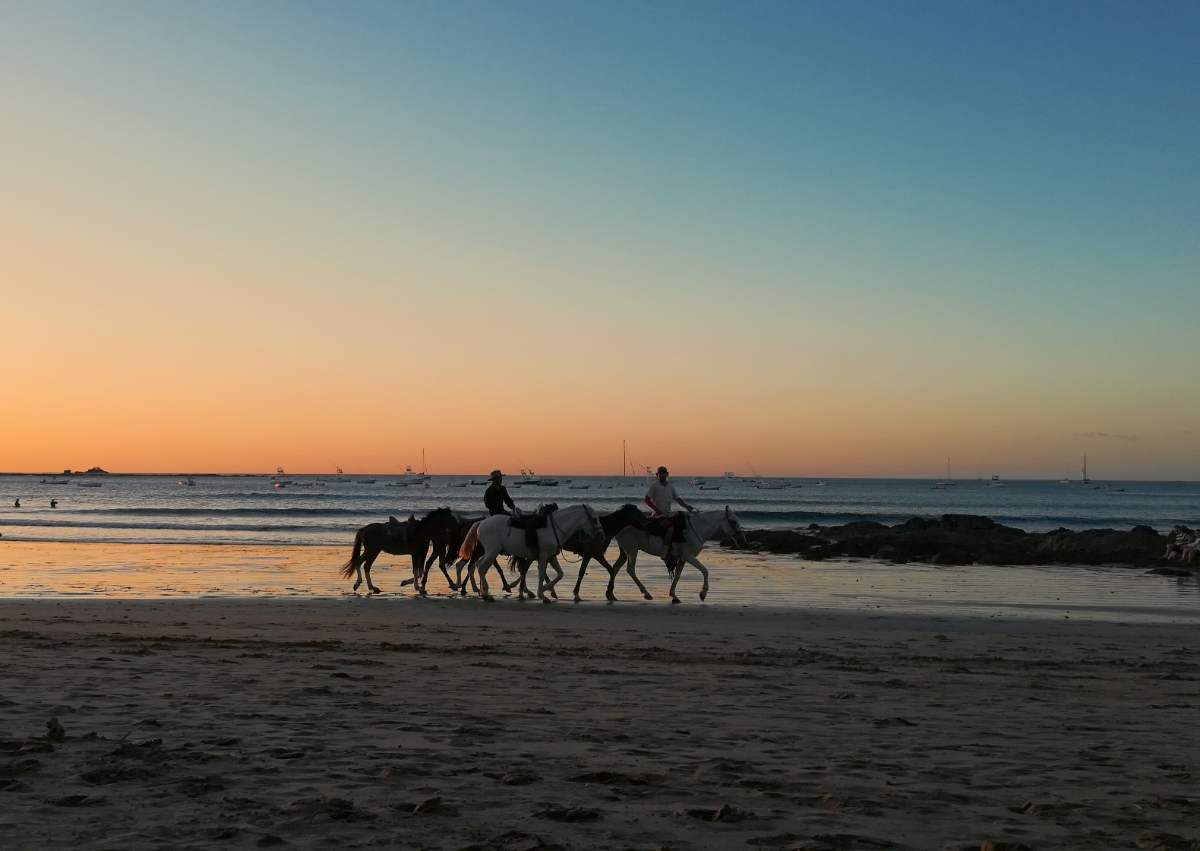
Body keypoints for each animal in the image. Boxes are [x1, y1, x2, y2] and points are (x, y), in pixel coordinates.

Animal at [456, 504, 604, 604]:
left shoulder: (550, 556)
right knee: (481, 567)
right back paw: (486, 594)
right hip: (492, 551)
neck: (554, 528)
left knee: (478, 566)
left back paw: (483, 592)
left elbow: (559, 574)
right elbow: (541, 574)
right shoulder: (543, 555)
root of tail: (481, 523)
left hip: (490, 552)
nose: (601, 536)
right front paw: (542, 595)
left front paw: (546, 590)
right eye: (594, 519)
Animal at [614, 508, 744, 600]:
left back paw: (612, 595)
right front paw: (703, 593)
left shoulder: (682, 558)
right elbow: (705, 570)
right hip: (632, 550)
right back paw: (646, 593)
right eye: (733, 521)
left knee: (616, 568)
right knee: (630, 570)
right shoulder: (688, 556)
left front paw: (673, 595)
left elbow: (677, 575)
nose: (742, 538)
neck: (697, 529)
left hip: (625, 552)